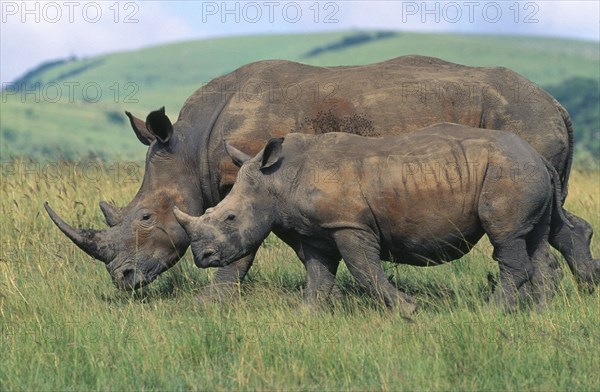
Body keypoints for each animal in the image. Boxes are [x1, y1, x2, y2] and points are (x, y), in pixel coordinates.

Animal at [173, 122, 568, 312]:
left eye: (230, 218)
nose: (202, 257)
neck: (276, 179)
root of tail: (536, 155)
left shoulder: (350, 225)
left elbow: (364, 271)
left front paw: (408, 310)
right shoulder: (316, 232)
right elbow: (318, 278)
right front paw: (305, 316)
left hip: (508, 172)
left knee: (506, 238)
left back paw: (491, 313)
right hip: (523, 171)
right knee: (534, 240)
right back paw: (539, 315)